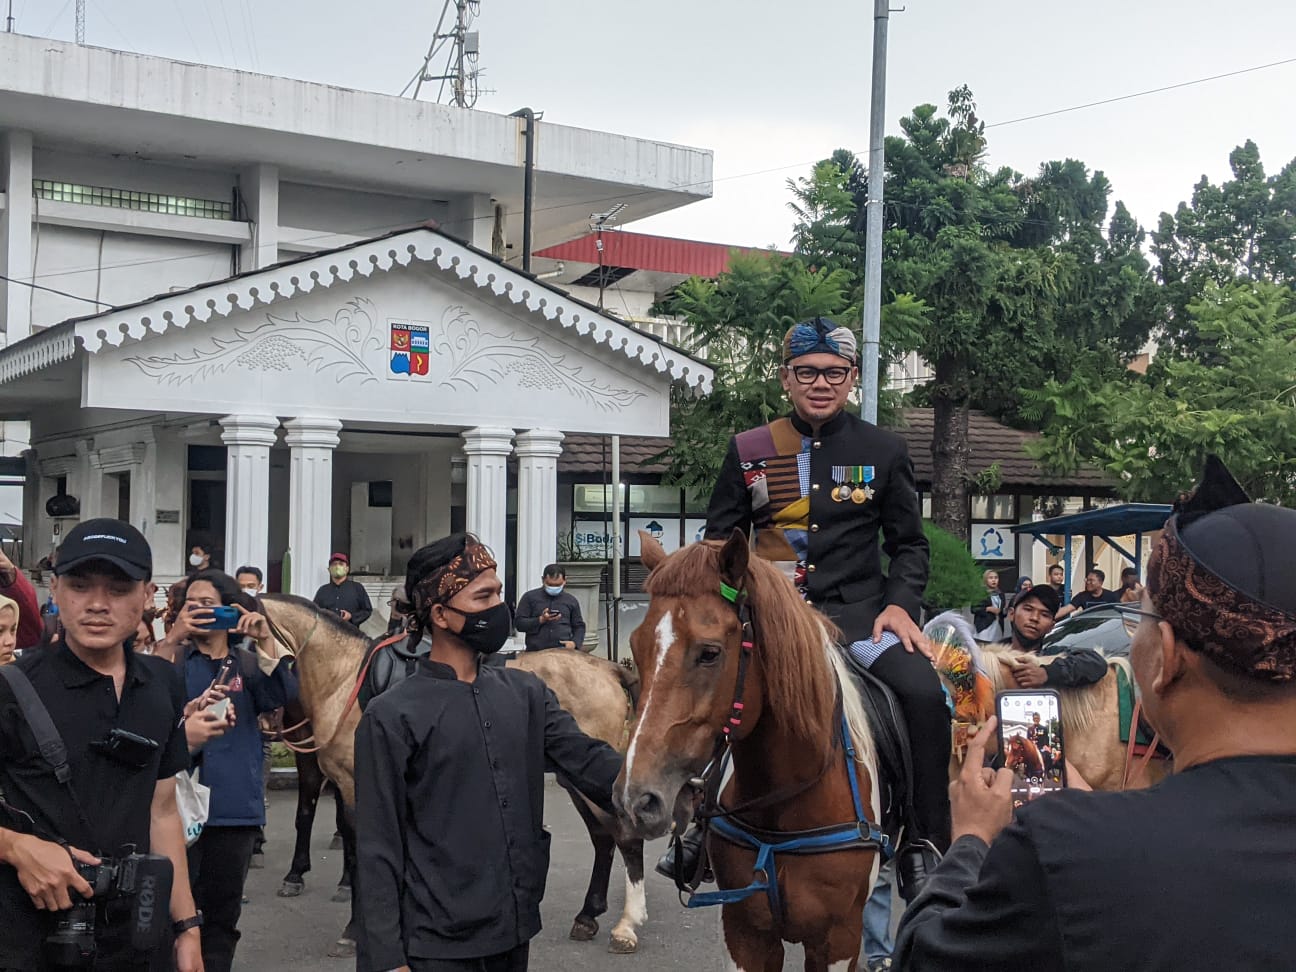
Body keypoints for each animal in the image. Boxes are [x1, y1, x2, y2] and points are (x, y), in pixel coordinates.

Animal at [614, 533, 881, 972]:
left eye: (709, 652)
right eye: (637, 648)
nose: (635, 800)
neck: (785, 810)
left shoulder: (838, 938)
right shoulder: (746, 933)